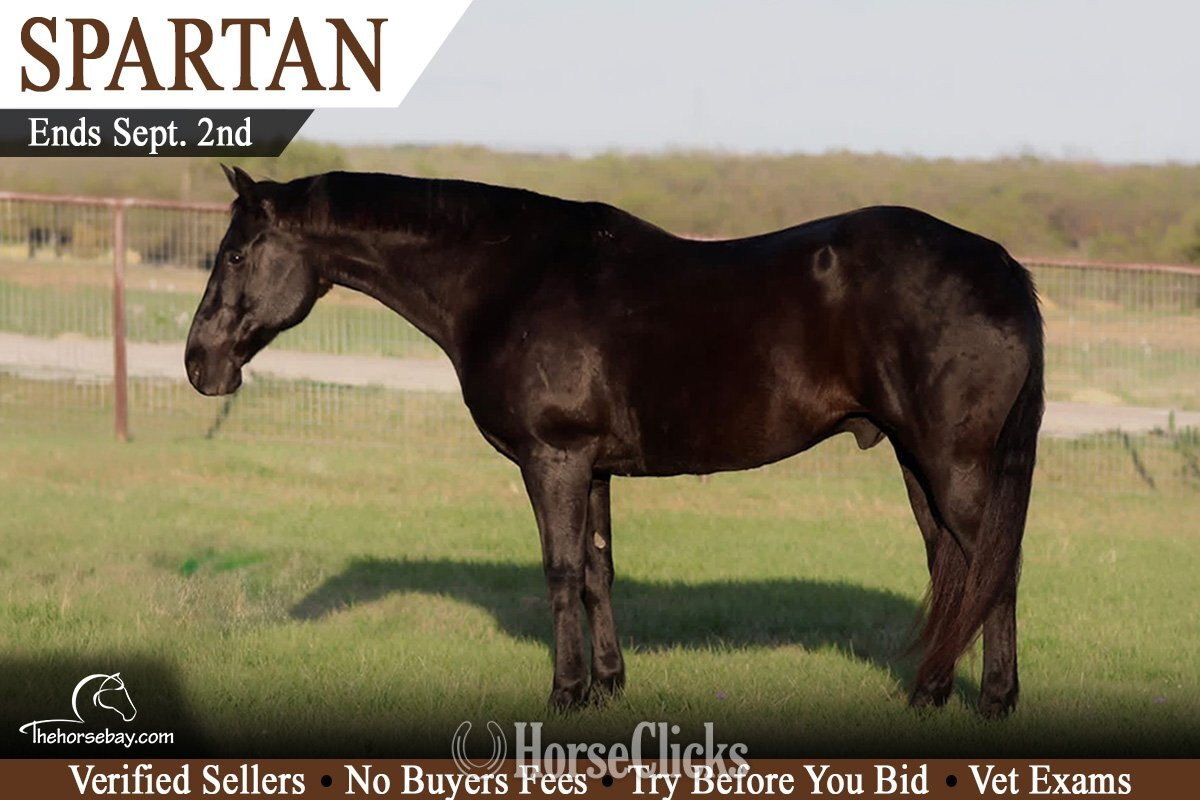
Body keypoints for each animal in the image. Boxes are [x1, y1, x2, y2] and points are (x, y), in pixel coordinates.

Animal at [186, 166, 1043, 718]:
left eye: (235, 253)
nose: (200, 363)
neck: (506, 277)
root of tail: (1003, 266)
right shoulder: (591, 468)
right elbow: (599, 572)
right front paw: (606, 687)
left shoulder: (553, 457)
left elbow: (562, 571)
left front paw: (565, 696)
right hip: (918, 461)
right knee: (953, 568)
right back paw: (928, 695)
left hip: (953, 464)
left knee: (993, 571)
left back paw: (995, 703)